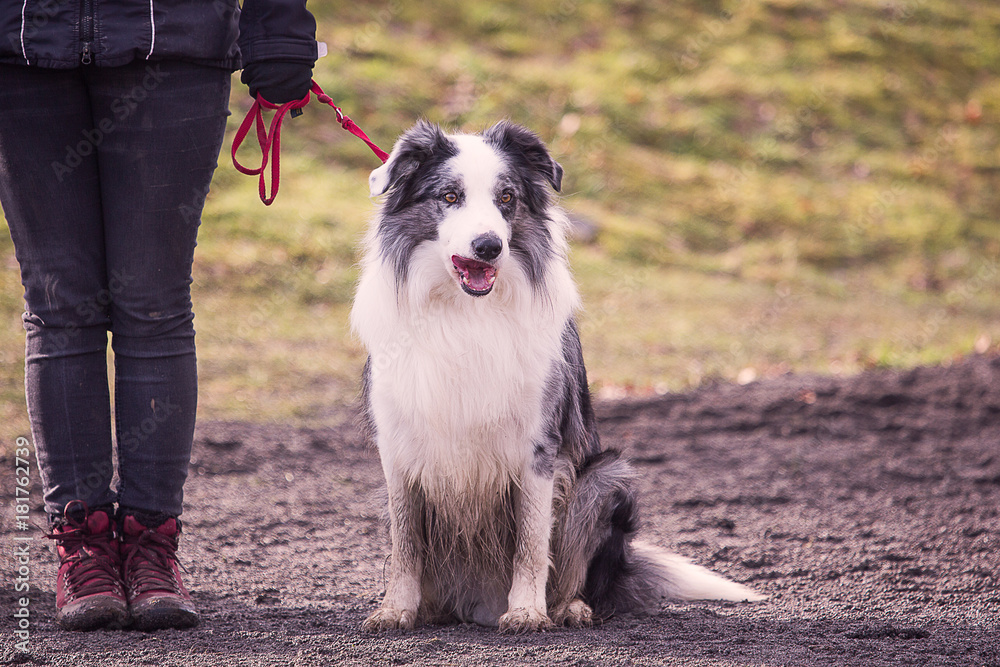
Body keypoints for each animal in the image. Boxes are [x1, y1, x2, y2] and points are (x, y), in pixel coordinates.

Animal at [350, 122, 756, 636]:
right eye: (449, 196)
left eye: (506, 197)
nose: (489, 246)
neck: (465, 311)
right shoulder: (398, 444)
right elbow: (405, 543)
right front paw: (396, 609)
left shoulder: (538, 446)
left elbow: (531, 541)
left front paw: (527, 611)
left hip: (605, 479)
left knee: (582, 572)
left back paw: (569, 607)